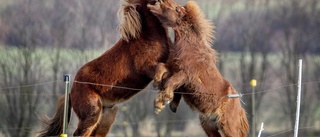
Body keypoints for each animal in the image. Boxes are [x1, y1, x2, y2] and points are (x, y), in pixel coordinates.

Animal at [39, 0, 172, 136]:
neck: (148, 35)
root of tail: (70, 93)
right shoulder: (145, 66)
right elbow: (162, 68)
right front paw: (159, 90)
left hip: (106, 117)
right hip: (92, 114)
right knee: (79, 133)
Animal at [148, 0, 250, 136]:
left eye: (176, 9)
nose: (160, 1)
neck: (190, 48)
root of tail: (240, 109)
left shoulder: (185, 75)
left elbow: (171, 82)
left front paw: (163, 101)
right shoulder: (173, 68)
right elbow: (161, 67)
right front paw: (157, 83)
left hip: (229, 128)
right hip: (209, 127)